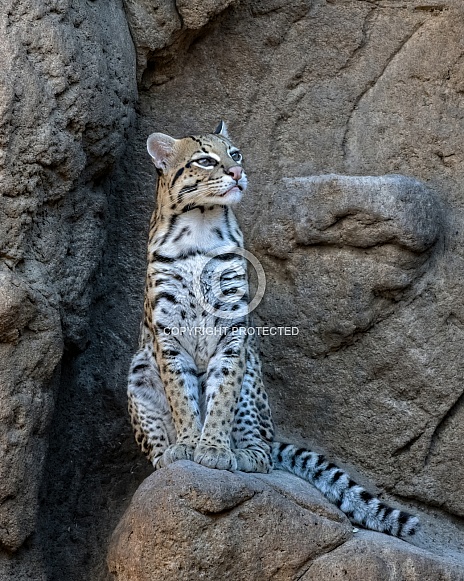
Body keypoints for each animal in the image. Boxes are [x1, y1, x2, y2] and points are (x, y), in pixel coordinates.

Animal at [127, 122, 420, 540]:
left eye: (236, 154)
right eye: (205, 161)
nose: (237, 172)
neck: (200, 226)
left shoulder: (233, 329)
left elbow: (222, 395)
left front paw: (214, 448)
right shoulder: (168, 331)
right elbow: (181, 396)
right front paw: (187, 444)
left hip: (253, 375)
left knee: (263, 444)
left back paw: (245, 453)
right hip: (138, 371)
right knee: (155, 443)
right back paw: (166, 455)